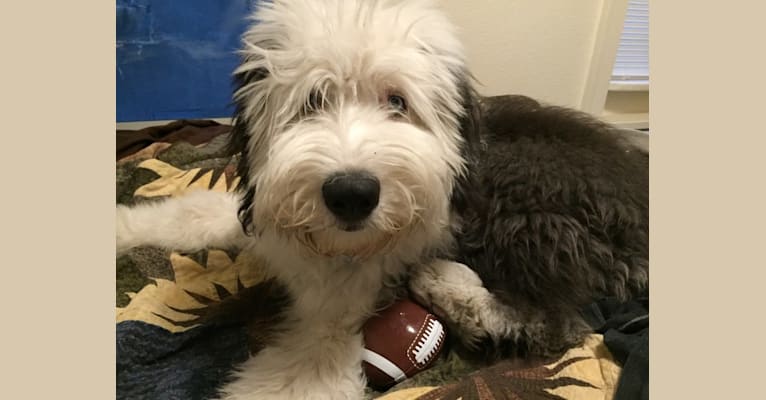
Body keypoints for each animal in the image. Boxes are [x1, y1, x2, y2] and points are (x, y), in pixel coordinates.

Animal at [117, 0, 652, 400]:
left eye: (398, 102)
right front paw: (123, 226)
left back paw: (447, 286)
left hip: (521, 202)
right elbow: (191, 214)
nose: (352, 193)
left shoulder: (332, 318)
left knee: (560, 319)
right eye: (313, 101)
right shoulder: (262, 220)